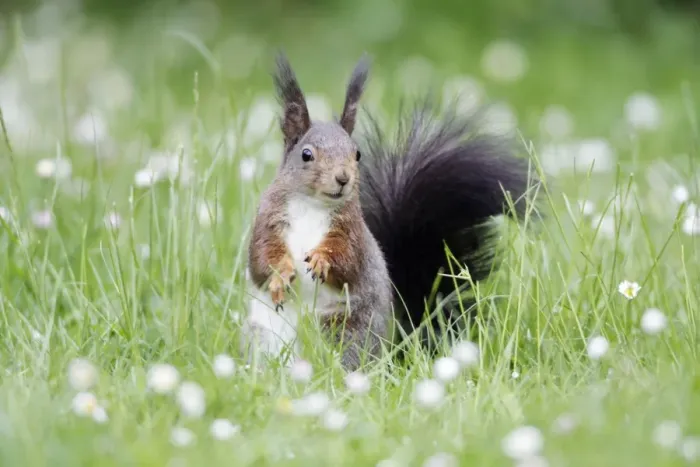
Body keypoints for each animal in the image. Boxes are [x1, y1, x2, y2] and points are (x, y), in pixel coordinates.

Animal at [241, 53, 533, 371]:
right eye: (306, 155)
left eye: (356, 154)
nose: (343, 178)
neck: (312, 205)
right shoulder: (267, 220)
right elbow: (262, 259)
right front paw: (279, 276)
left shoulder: (352, 231)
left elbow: (347, 260)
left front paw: (321, 260)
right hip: (268, 337)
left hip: (347, 329)